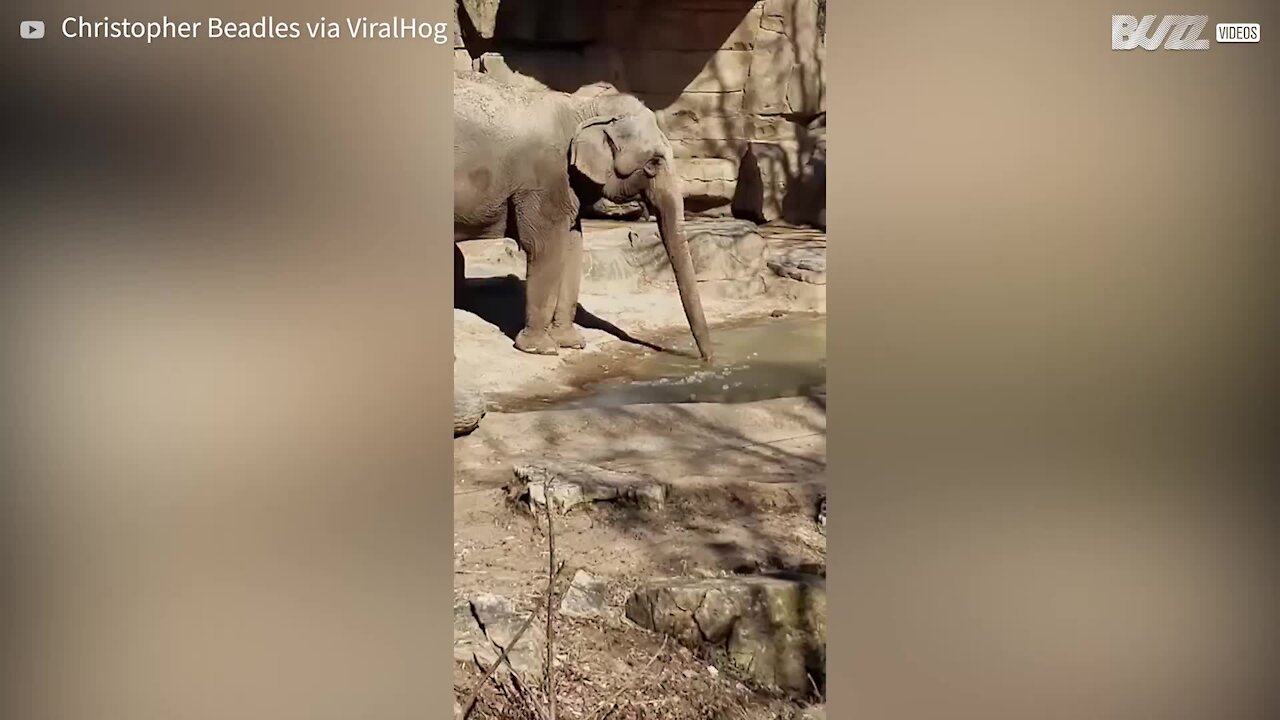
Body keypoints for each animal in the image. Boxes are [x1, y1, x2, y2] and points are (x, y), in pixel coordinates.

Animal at [453, 70, 716, 361]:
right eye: (653, 163)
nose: (707, 359)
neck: (581, 108)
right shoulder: (544, 178)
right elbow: (545, 247)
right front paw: (541, 349)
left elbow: (573, 247)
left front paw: (571, 343)